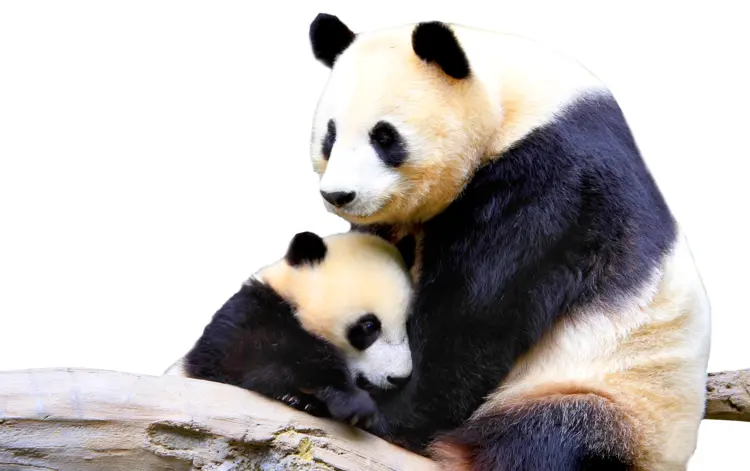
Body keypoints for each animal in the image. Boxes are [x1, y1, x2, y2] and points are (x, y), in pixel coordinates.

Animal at [164, 230, 415, 427]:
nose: (399, 378)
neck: (292, 298)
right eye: (369, 326)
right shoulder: (250, 315)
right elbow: (247, 358)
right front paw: (353, 403)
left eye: (407, 324)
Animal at [306, 13, 712, 471]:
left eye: (385, 137)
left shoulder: (551, 182)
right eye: (330, 136)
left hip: (615, 397)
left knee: (549, 438)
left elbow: (475, 313)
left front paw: (379, 408)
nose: (339, 195)